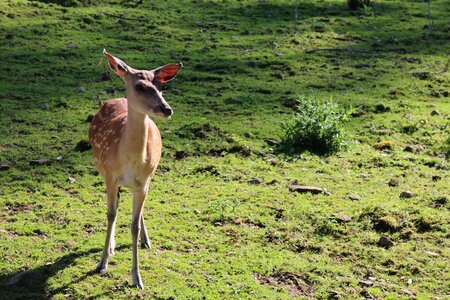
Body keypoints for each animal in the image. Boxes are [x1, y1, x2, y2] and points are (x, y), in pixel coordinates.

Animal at [89, 50, 182, 290]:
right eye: (140, 86)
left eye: (161, 86)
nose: (166, 109)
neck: (129, 159)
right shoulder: (110, 175)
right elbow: (111, 214)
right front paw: (102, 262)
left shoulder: (143, 182)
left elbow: (133, 226)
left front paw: (137, 278)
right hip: (101, 167)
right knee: (114, 207)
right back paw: (111, 247)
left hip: (147, 179)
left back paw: (145, 240)